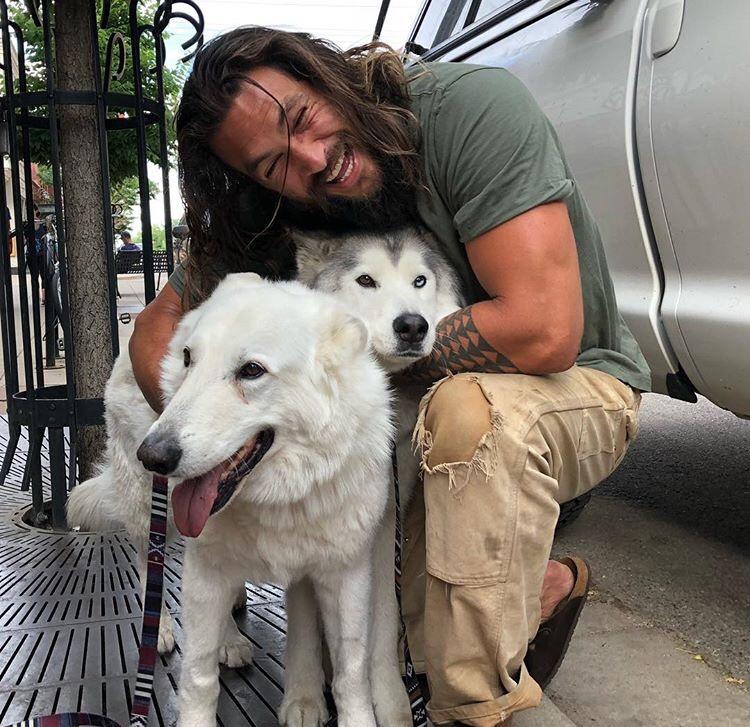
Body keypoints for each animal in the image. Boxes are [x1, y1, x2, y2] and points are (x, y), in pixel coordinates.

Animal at [67, 274, 402, 727]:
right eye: (188, 358)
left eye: (252, 371)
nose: (152, 455)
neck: (280, 497)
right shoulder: (205, 567)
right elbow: (197, 676)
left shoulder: (345, 574)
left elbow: (351, 673)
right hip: (148, 513)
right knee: (147, 567)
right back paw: (165, 629)